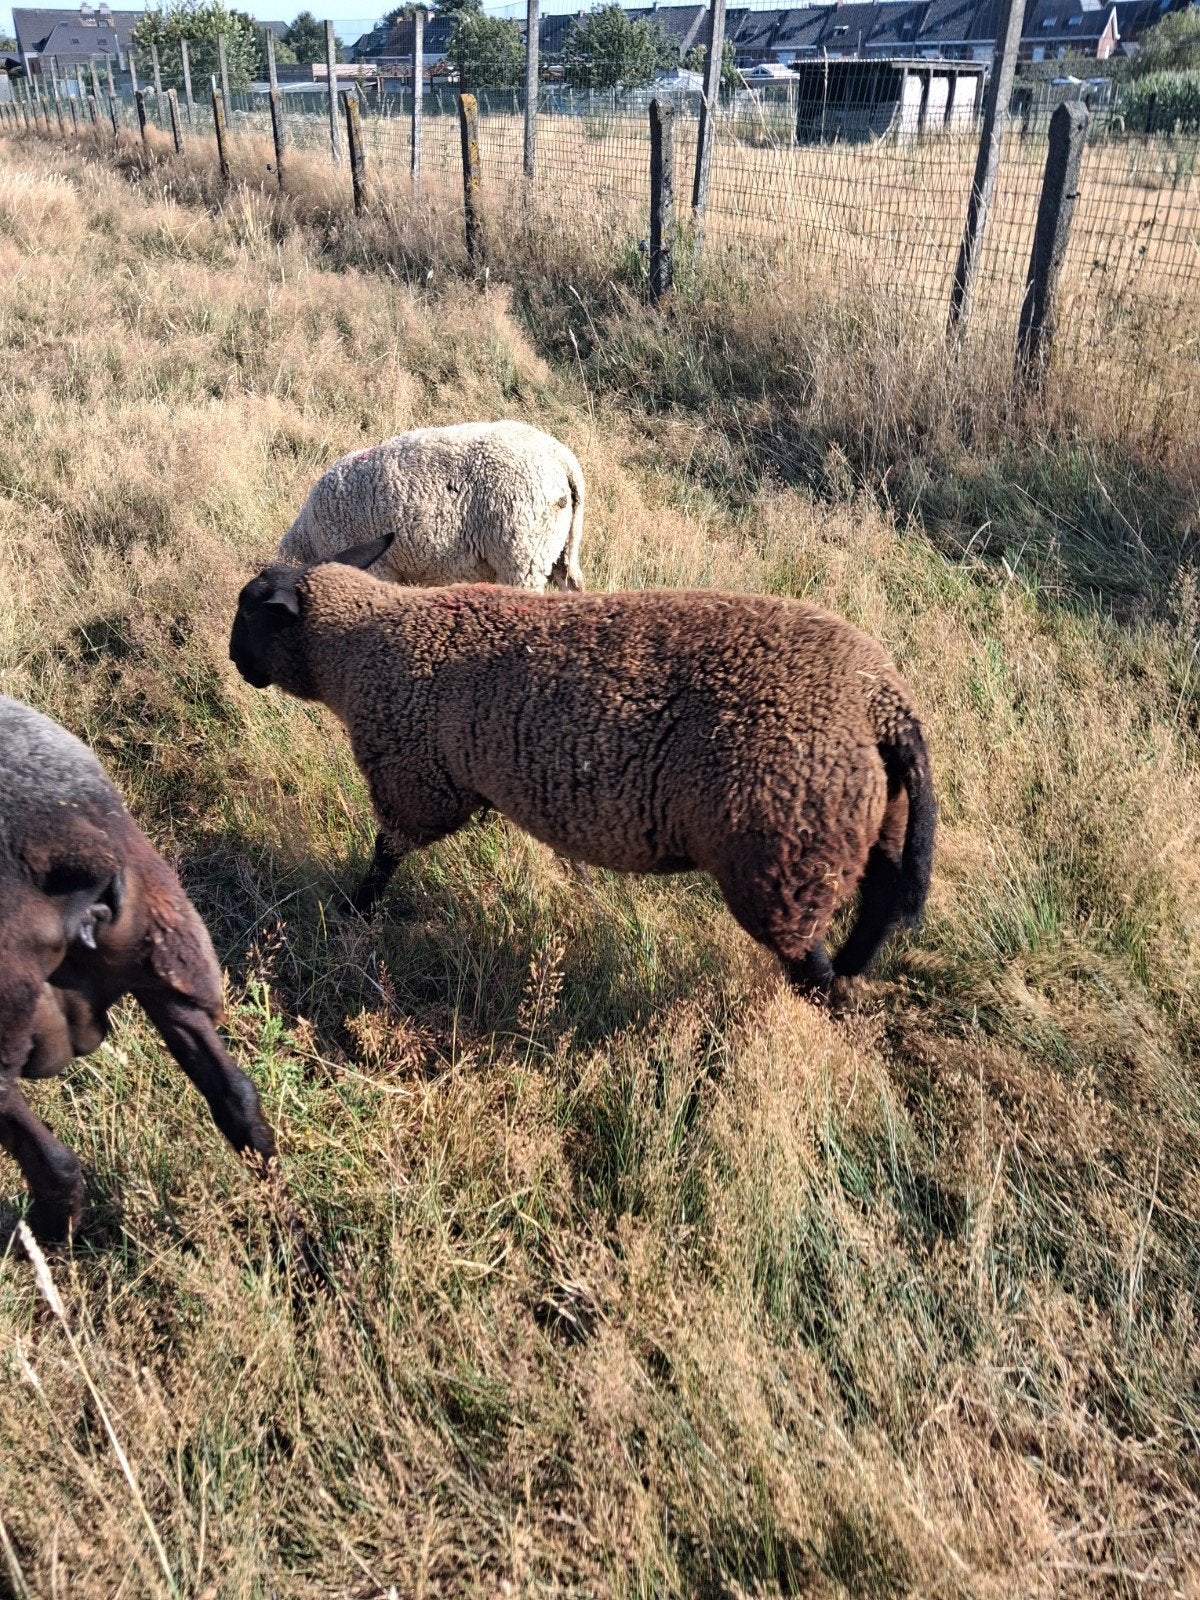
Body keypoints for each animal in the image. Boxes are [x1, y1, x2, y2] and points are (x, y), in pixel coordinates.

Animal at [229, 535, 936, 998]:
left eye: (249, 612)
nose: (234, 661)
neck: (362, 645)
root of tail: (881, 700)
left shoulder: (414, 779)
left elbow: (385, 856)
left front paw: (353, 912)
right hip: (870, 822)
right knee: (877, 907)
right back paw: (851, 978)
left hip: (783, 852)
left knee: (808, 959)